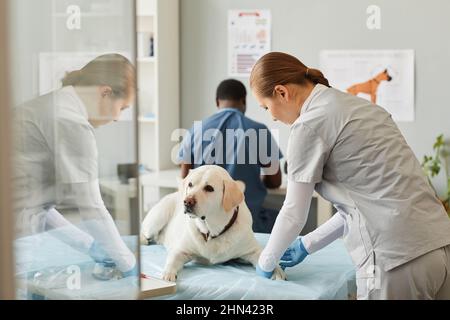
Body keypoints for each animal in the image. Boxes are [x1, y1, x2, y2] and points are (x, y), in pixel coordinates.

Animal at [142, 166, 286, 282]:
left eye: (209, 188)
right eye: (190, 184)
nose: (187, 201)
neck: (211, 231)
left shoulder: (252, 250)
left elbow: (264, 257)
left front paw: (276, 270)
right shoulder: (181, 250)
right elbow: (172, 259)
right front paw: (167, 273)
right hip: (158, 216)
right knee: (144, 230)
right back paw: (144, 240)